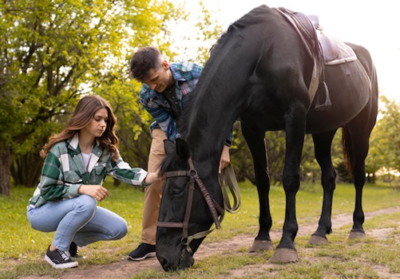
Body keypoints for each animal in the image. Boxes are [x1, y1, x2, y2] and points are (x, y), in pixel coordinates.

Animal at [155, 4, 378, 272]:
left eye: (177, 191)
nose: (163, 258)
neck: (261, 53)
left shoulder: (295, 118)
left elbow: (290, 179)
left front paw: (286, 243)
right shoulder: (252, 128)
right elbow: (262, 181)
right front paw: (262, 237)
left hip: (361, 129)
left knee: (358, 176)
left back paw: (357, 227)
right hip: (324, 132)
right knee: (329, 178)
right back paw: (321, 231)